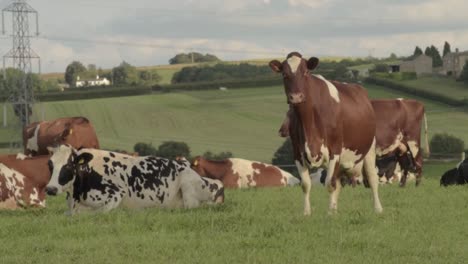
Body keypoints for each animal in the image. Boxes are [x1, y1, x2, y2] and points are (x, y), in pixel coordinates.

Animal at [44, 144, 225, 214]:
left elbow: (98, 213)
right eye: (50, 164)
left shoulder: (116, 194)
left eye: (69, 166)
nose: (50, 189)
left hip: (188, 187)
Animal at [268, 52, 382, 216]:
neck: (309, 124)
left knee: (372, 178)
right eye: (284, 74)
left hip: (369, 148)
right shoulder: (297, 152)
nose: (296, 97)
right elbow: (306, 184)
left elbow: (329, 184)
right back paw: (335, 208)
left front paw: (329, 215)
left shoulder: (335, 150)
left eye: (305, 72)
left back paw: (378, 209)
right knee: (339, 182)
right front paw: (307, 213)